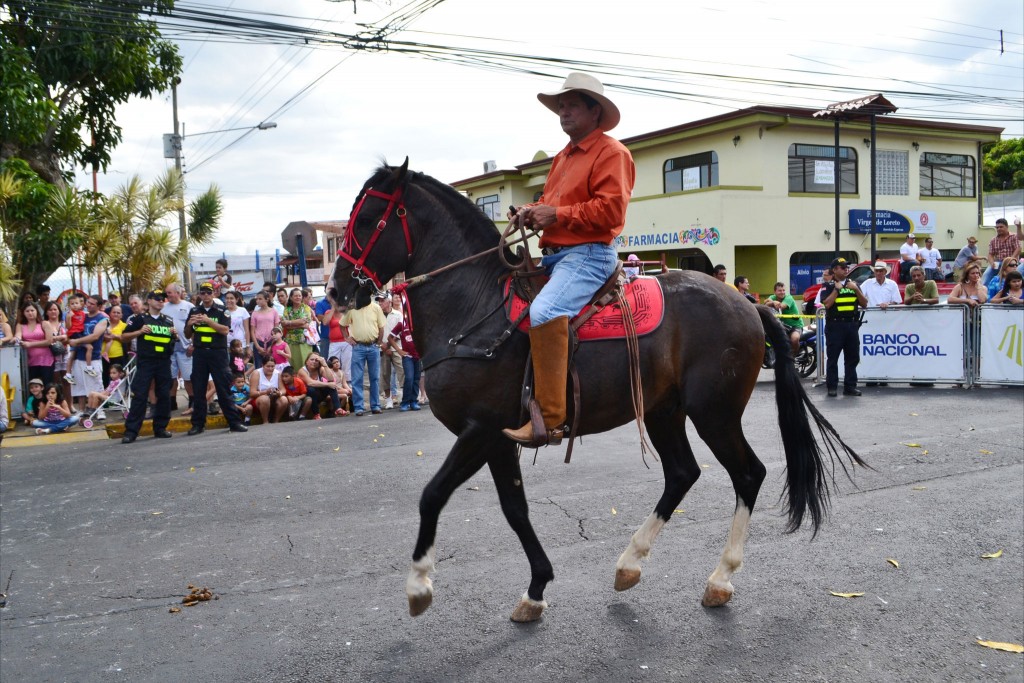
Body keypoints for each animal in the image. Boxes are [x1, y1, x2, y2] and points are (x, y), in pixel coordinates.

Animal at [329, 160, 864, 626]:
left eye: (371, 218)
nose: (336, 291)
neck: (477, 309)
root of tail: (749, 305)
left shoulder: (479, 429)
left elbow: (432, 495)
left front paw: (419, 586)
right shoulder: (499, 438)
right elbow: (515, 509)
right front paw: (535, 590)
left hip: (714, 412)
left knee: (748, 474)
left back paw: (720, 579)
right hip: (665, 411)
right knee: (682, 473)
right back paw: (630, 563)